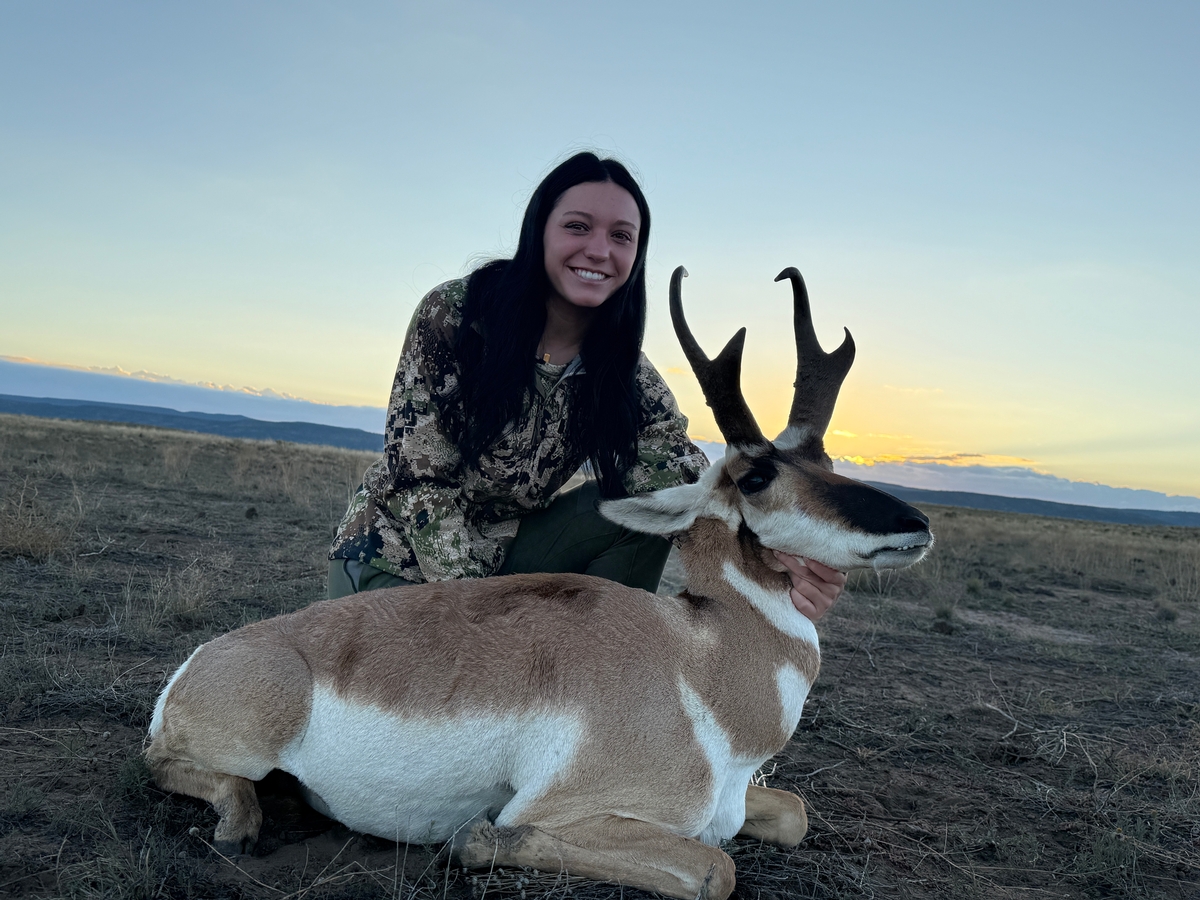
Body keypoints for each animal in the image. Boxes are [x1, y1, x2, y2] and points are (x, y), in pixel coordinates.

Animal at [146, 266, 932, 900]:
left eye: (825, 457)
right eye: (758, 475)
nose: (916, 522)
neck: (700, 665)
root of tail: (206, 657)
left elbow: (793, 814)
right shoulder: (568, 809)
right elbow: (715, 867)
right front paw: (476, 842)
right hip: (243, 745)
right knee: (168, 765)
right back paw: (243, 820)